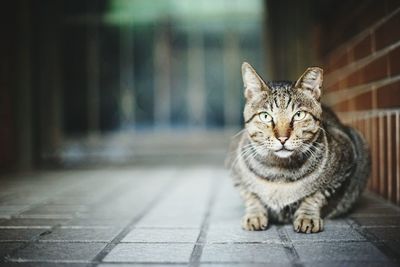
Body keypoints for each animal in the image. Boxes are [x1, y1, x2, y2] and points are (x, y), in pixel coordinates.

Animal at [227, 62, 370, 234]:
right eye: (265, 116)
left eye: (299, 115)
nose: (282, 138)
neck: (279, 172)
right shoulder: (236, 171)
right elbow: (251, 195)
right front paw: (254, 214)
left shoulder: (346, 158)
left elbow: (316, 195)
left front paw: (307, 217)